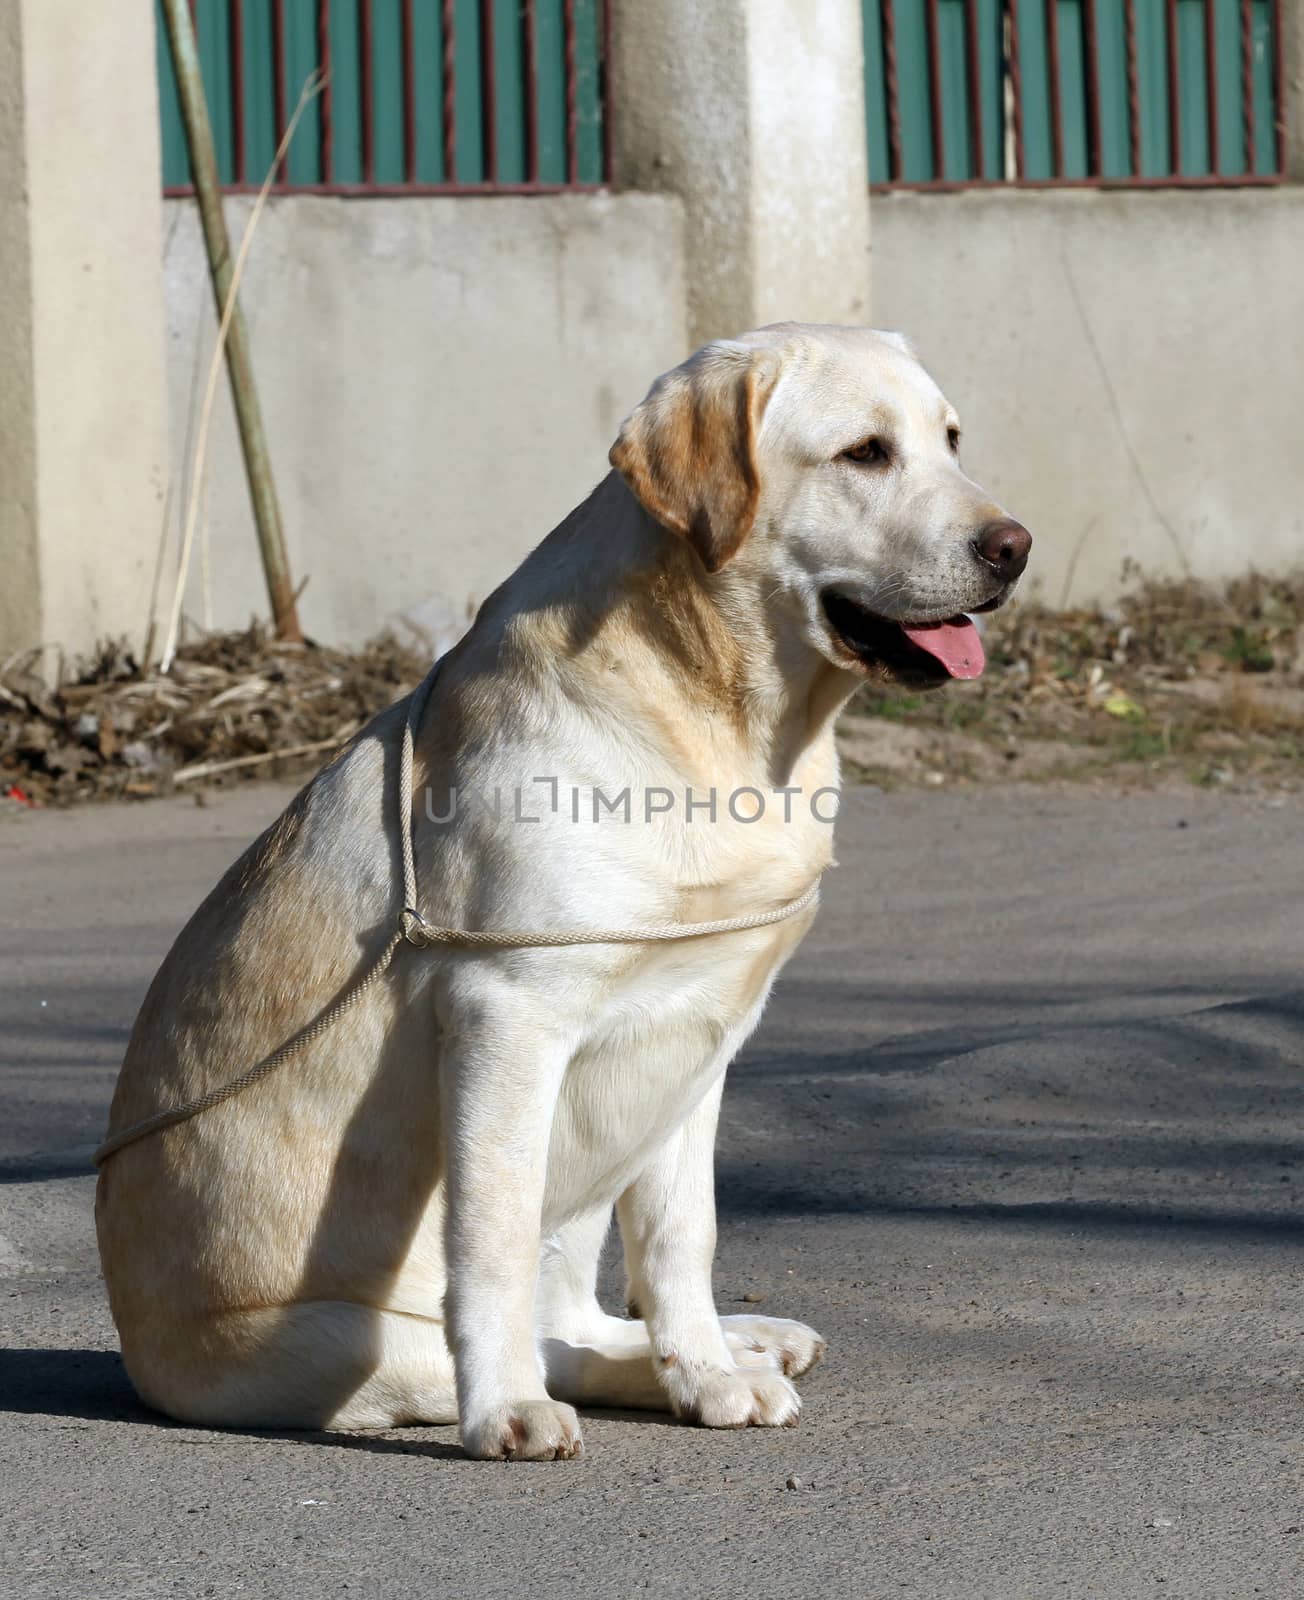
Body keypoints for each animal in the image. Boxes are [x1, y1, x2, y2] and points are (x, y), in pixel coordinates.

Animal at [96, 324, 1030, 1465]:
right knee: (518, 1334)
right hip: (348, 1336)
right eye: (864, 453)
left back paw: (738, 1344)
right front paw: (505, 1409)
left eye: (950, 439)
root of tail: (144, 1355)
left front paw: (706, 1375)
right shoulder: (507, 1015)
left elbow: (680, 1239)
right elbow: (490, 1246)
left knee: (576, 1315)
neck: (716, 715)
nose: (1013, 547)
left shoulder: (702, 1031)